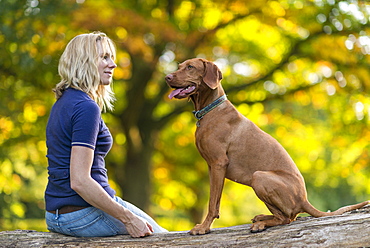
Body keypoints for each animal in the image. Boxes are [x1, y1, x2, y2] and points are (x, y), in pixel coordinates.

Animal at [165, 57, 370, 234]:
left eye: (190, 67)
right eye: (179, 65)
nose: (167, 77)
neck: (210, 110)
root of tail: (304, 199)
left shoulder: (218, 163)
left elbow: (212, 203)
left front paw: (203, 227)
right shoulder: (211, 166)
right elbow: (213, 200)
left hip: (259, 177)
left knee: (287, 218)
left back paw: (262, 223)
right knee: (287, 216)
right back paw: (263, 217)